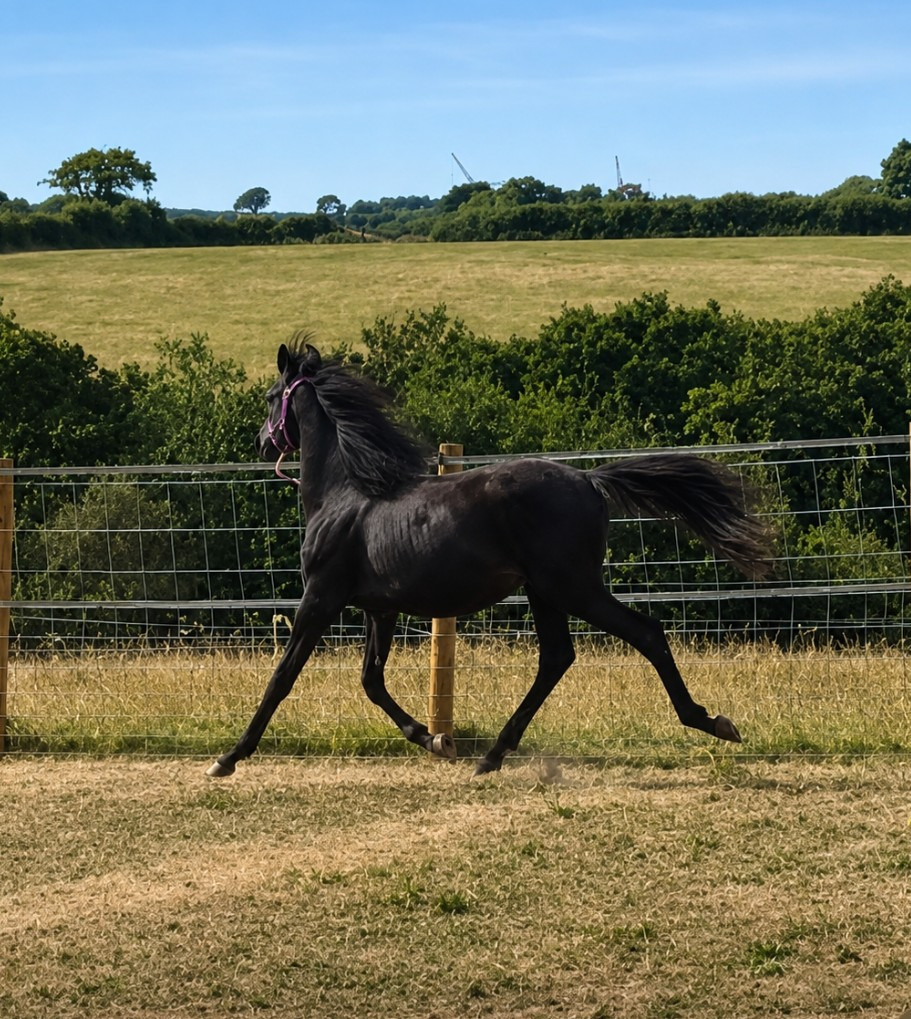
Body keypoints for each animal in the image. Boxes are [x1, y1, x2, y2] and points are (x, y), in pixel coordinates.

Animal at [206, 340, 771, 778]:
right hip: (544, 591)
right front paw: (433, 739)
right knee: (557, 658)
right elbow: (371, 680)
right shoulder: (380, 609)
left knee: (645, 634)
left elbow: (283, 677)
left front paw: (228, 758)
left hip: (571, 586)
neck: (346, 496)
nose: (262, 442)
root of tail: (589, 480)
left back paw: (712, 722)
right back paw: (493, 755)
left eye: (270, 398)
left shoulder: (320, 598)